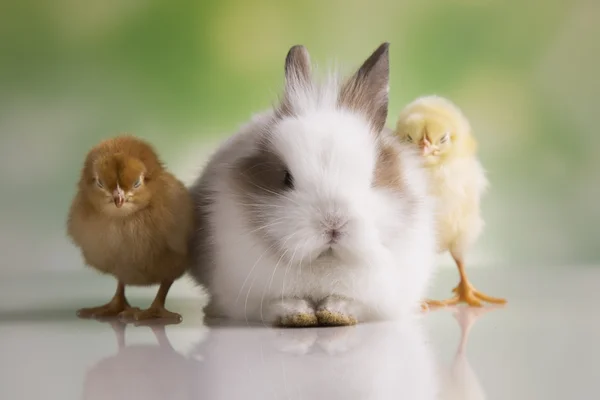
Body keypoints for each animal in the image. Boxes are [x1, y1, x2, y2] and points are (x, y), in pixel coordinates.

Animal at [190, 42, 438, 326]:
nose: (333, 223)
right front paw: (298, 315)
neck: (323, 263)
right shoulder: (250, 298)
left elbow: (351, 303)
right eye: (286, 178)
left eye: (371, 177)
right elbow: (278, 303)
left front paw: (335, 314)